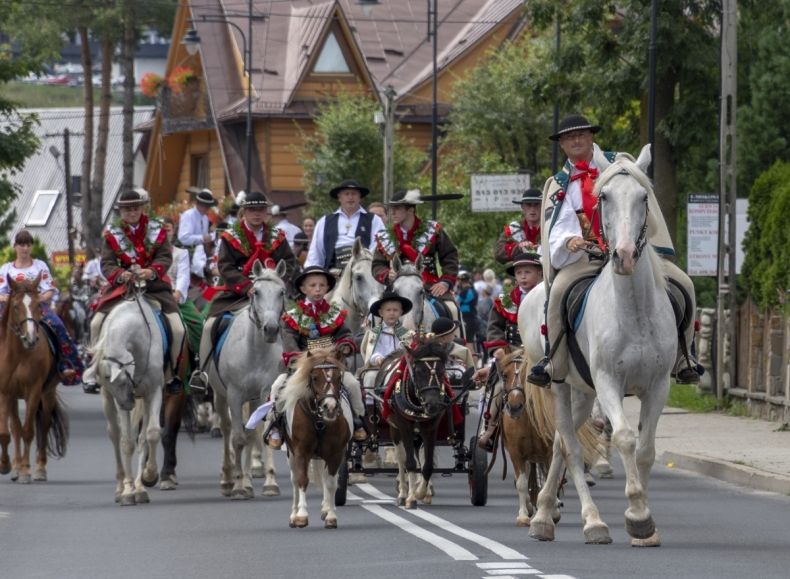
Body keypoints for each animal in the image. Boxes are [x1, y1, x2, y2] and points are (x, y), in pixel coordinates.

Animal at [0, 274, 69, 482]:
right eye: (15, 306)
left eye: (38, 305)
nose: (31, 339)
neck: (19, 353)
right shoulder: (4, 392)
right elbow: (6, 433)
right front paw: (6, 466)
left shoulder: (34, 390)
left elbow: (29, 431)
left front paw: (26, 471)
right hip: (14, 397)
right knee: (15, 427)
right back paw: (16, 467)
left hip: (48, 393)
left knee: (44, 425)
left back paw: (38, 468)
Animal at [87, 280, 166, 502]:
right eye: (107, 381)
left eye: (116, 379)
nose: (126, 404)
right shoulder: (118, 397)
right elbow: (127, 442)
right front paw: (129, 490)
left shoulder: (153, 391)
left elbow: (151, 434)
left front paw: (147, 478)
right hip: (108, 401)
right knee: (115, 435)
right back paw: (121, 486)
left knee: (142, 437)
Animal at [198, 260, 288, 500]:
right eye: (256, 292)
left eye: (281, 292)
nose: (271, 329)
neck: (254, 350)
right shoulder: (235, 394)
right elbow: (237, 439)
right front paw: (238, 486)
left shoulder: (265, 394)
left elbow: (257, 434)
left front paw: (265, 483)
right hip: (220, 396)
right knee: (228, 429)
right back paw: (229, 479)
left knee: (249, 433)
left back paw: (247, 480)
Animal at [280, 348, 352, 532]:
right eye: (314, 378)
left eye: (338, 377)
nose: (330, 407)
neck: (320, 421)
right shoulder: (301, 452)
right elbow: (302, 480)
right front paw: (301, 516)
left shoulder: (335, 454)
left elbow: (331, 482)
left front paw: (331, 516)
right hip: (291, 454)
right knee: (294, 480)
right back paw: (293, 515)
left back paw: (326, 509)